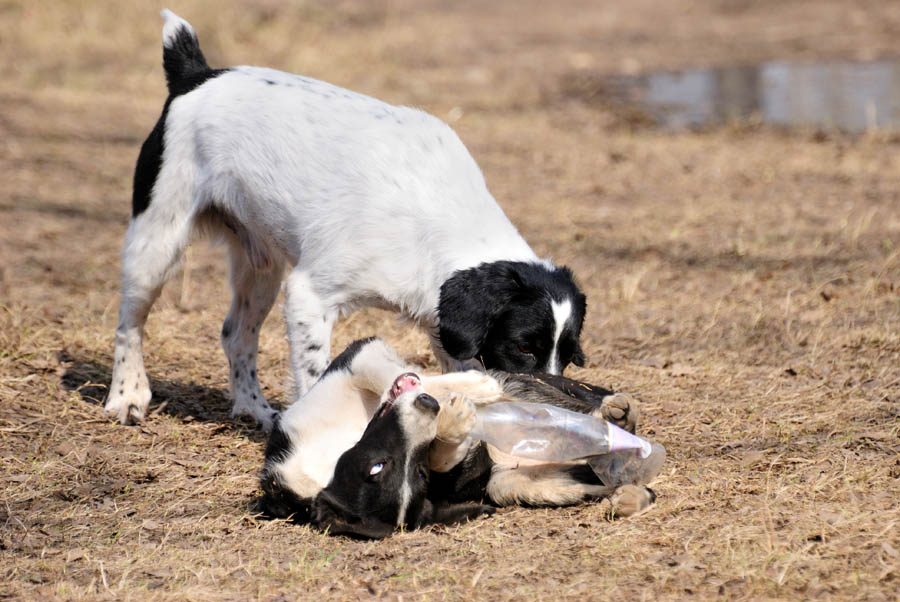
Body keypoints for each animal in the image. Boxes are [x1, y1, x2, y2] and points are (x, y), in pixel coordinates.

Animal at [105, 10, 588, 432]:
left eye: (568, 353)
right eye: (522, 345)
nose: (558, 406)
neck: (435, 217)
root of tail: (196, 74)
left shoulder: (443, 327)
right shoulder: (309, 295)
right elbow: (318, 375)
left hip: (260, 268)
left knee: (236, 335)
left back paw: (253, 408)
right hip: (156, 242)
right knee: (130, 324)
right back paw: (127, 396)